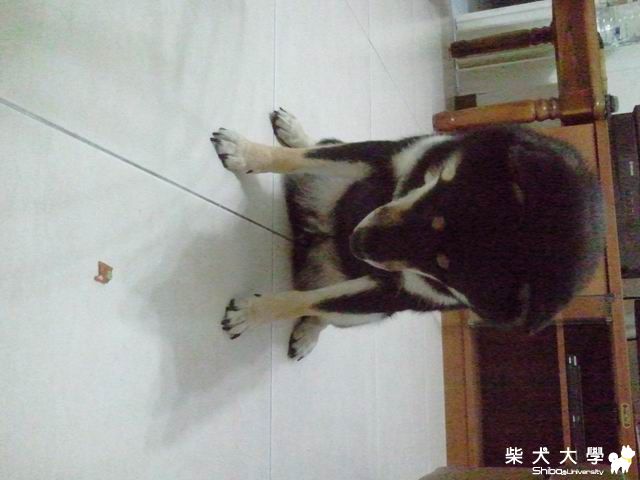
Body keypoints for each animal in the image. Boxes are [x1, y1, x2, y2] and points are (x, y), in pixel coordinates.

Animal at [211, 109, 604, 360]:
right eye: (440, 195)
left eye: (444, 272)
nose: (355, 243)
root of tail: (309, 235)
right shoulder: (387, 155)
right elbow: (302, 157)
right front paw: (245, 151)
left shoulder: (392, 292)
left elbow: (303, 302)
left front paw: (252, 313)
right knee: (318, 149)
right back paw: (294, 132)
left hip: (365, 313)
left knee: (325, 310)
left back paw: (310, 333)